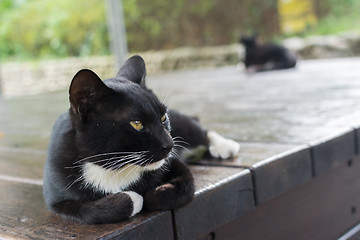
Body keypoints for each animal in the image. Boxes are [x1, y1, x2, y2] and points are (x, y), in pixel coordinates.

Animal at [43, 55, 239, 224]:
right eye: (137, 124)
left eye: (163, 117)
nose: (170, 145)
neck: (114, 168)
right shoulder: (56, 195)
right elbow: (88, 212)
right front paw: (134, 198)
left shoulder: (173, 163)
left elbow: (187, 185)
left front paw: (151, 195)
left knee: (198, 129)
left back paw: (224, 146)